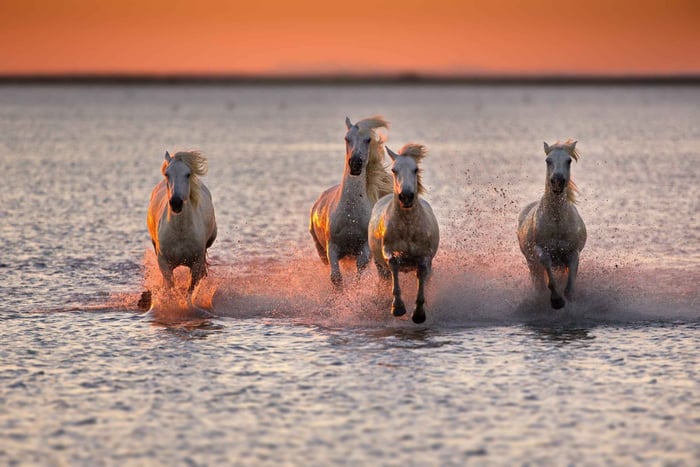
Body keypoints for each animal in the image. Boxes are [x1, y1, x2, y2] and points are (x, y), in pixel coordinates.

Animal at [147, 150, 217, 302]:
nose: (176, 203)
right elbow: (170, 287)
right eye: (167, 174)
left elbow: (190, 291)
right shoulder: (164, 264)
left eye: (188, 174)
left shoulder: (196, 264)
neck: (180, 233)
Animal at [309, 116, 393, 286]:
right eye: (346, 138)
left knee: (382, 271)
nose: (355, 164)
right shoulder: (332, 247)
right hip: (322, 251)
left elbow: (360, 266)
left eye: (368, 139)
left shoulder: (364, 247)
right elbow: (336, 277)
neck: (350, 215)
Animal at [368, 144, 440, 324]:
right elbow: (394, 264)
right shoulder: (388, 251)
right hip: (379, 266)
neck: (407, 227)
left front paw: (419, 314)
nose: (406, 197)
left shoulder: (425, 257)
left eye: (415, 169)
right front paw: (397, 308)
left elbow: (422, 276)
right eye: (394, 170)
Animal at [517, 140, 586, 309]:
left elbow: (570, 286)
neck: (557, 222)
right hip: (531, 264)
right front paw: (556, 301)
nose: (557, 182)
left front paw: (568, 300)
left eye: (569, 161)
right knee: (539, 284)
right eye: (548, 160)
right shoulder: (541, 251)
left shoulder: (573, 253)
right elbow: (546, 265)